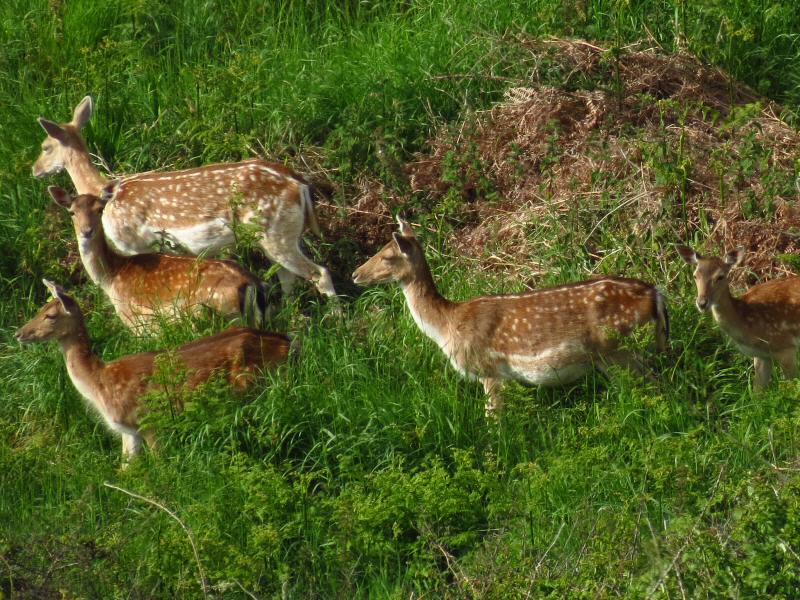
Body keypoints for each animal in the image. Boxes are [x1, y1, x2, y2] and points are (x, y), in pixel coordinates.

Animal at [15, 278, 292, 462]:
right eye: (40, 309)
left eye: (50, 315)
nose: (19, 333)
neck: (100, 384)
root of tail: (289, 345)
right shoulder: (128, 432)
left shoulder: (150, 420)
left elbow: (160, 465)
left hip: (253, 387)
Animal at [32, 96, 334, 300]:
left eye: (45, 147)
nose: (34, 169)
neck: (104, 191)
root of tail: (299, 185)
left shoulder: (135, 244)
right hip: (276, 236)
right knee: (288, 279)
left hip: (277, 232)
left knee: (319, 274)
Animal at [50, 185, 274, 330]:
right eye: (72, 212)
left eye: (99, 209)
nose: (86, 232)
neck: (111, 278)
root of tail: (253, 284)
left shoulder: (135, 320)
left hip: (222, 313)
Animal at [354, 218, 672, 414]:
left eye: (387, 256)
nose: (356, 274)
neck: (447, 325)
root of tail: (655, 294)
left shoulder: (489, 369)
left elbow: (493, 419)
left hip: (619, 350)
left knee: (656, 382)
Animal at [680, 244, 800, 390]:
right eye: (695, 275)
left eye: (720, 276)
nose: (702, 303)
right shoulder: (762, 355)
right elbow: (757, 391)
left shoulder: (785, 346)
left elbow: (793, 386)